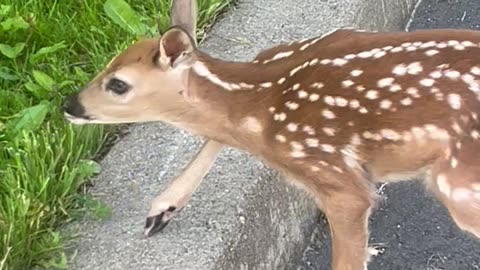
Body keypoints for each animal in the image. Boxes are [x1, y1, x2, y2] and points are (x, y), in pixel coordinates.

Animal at [62, 1, 478, 268]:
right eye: (106, 66)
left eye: (118, 84)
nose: (69, 105)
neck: (258, 104)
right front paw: (160, 210)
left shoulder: (337, 181)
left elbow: (348, 254)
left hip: (458, 183)